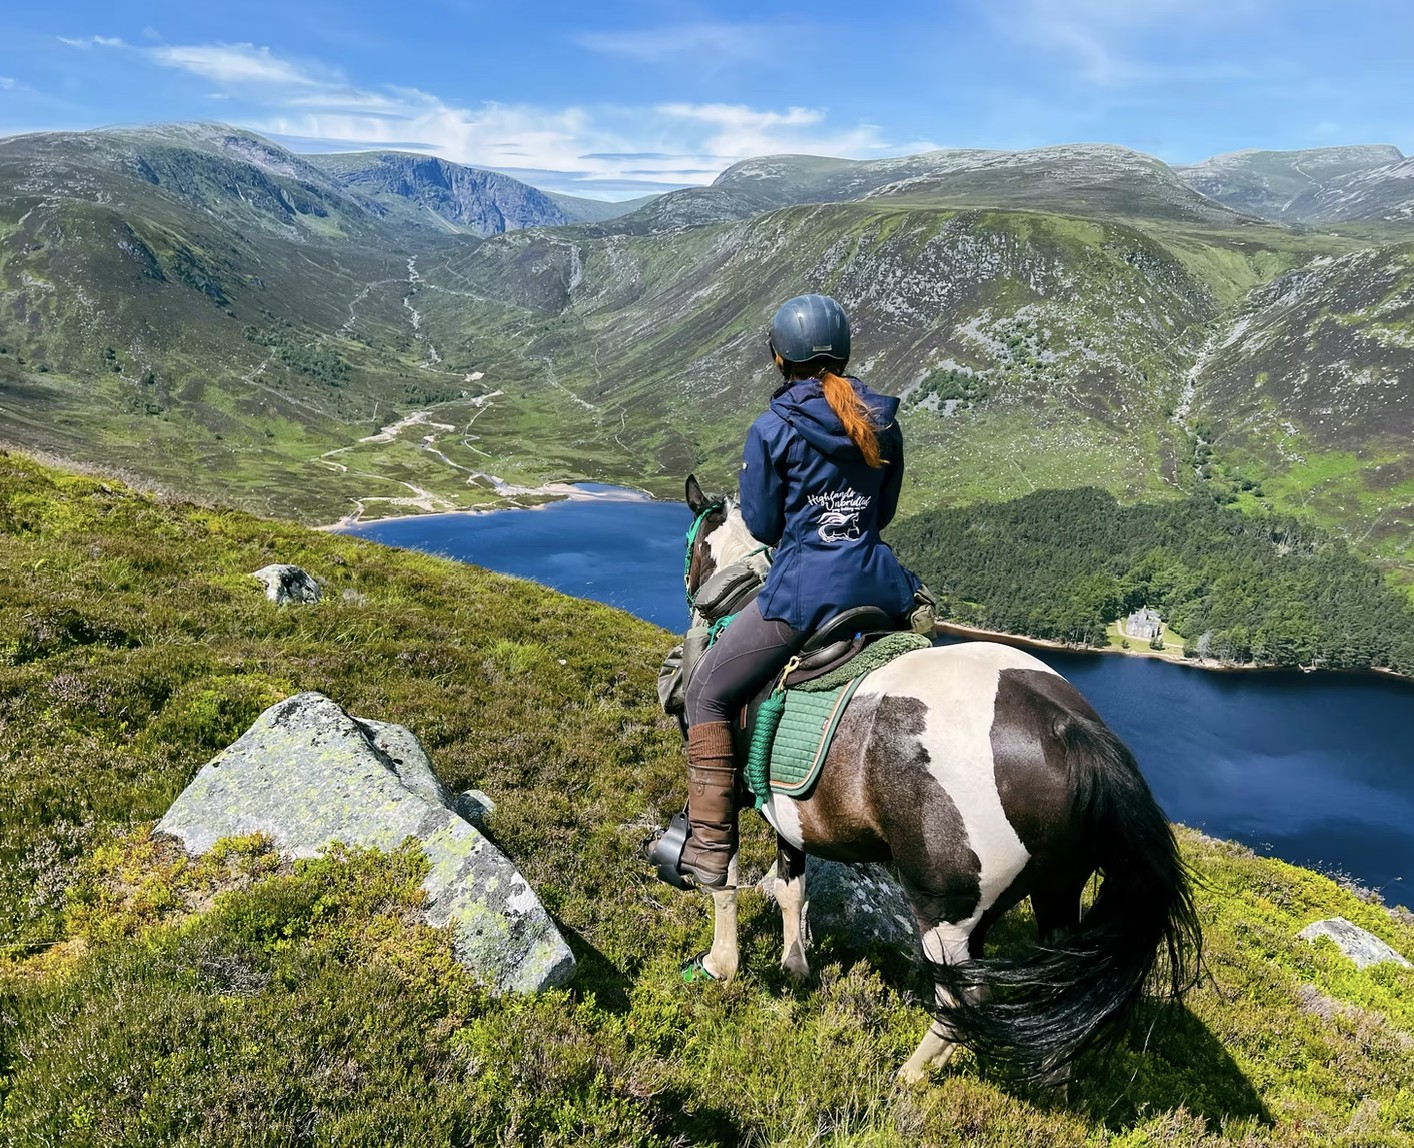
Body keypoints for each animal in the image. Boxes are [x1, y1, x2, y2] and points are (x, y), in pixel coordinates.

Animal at [671, 475, 1201, 1083]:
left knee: (963, 998)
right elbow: (791, 889)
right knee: (1048, 997)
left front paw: (721, 964)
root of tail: (1069, 729)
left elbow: (724, 879)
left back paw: (909, 1077)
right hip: (1054, 893)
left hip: (946, 912)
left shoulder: (734, 791)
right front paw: (796, 965)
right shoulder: (787, 814)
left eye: (691, 544)